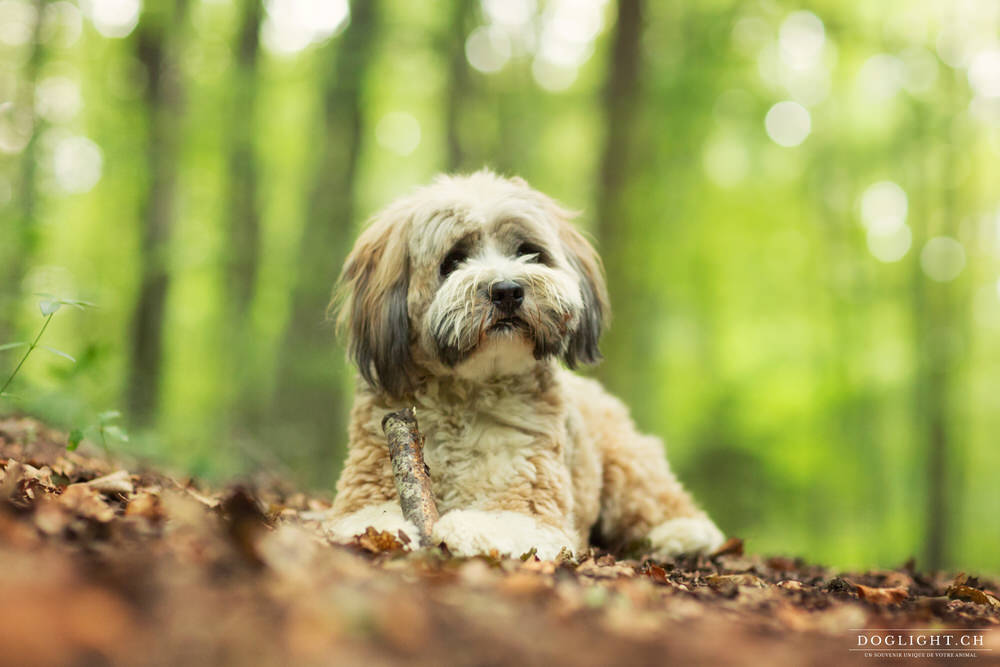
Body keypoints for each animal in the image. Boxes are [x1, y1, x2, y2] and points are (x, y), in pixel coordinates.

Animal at [324, 171, 724, 560]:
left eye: (528, 252)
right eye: (452, 261)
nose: (507, 290)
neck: (461, 397)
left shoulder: (530, 494)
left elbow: (505, 520)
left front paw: (465, 527)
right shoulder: (374, 469)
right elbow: (363, 515)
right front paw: (387, 530)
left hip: (627, 463)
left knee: (660, 500)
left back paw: (683, 534)